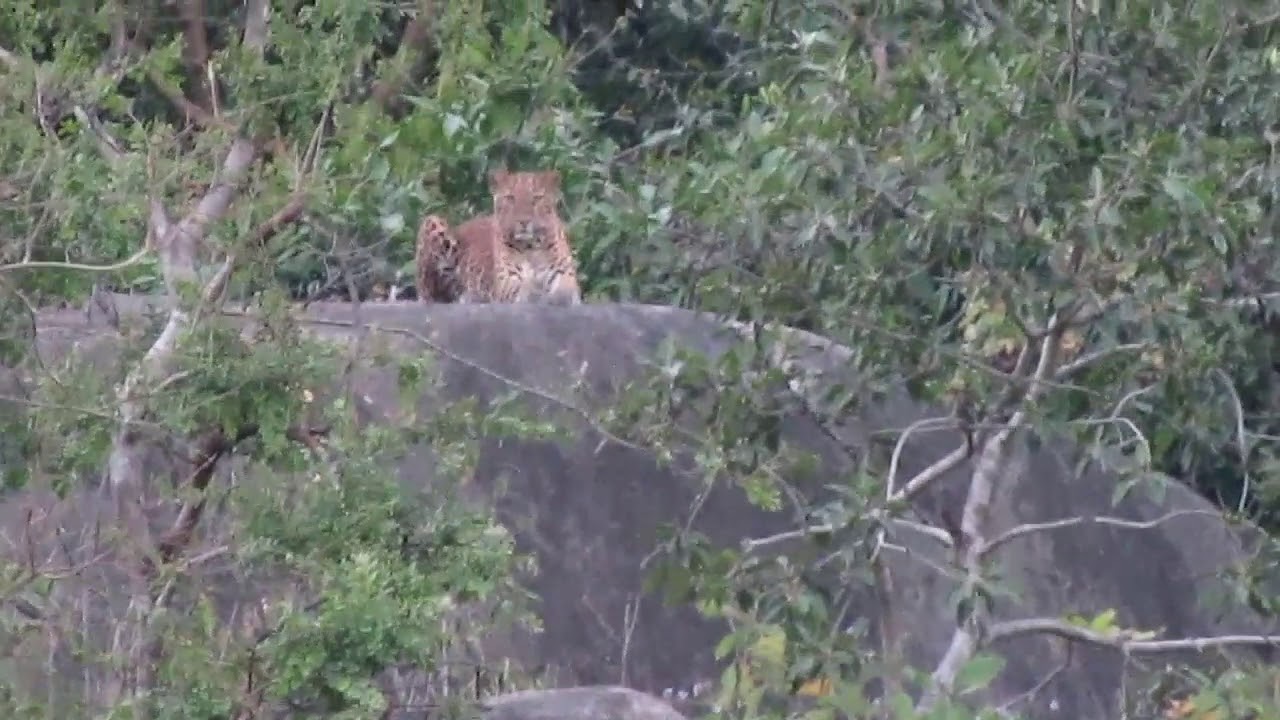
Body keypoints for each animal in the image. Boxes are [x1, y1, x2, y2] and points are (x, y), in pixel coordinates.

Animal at [414, 169, 582, 305]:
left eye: (536, 198)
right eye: (510, 198)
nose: (524, 221)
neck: (530, 247)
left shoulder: (563, 272)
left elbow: (565, 290)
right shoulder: (507, 277)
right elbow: (522, 288)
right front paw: (534, 293)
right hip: (432, 221)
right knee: (429, 293)